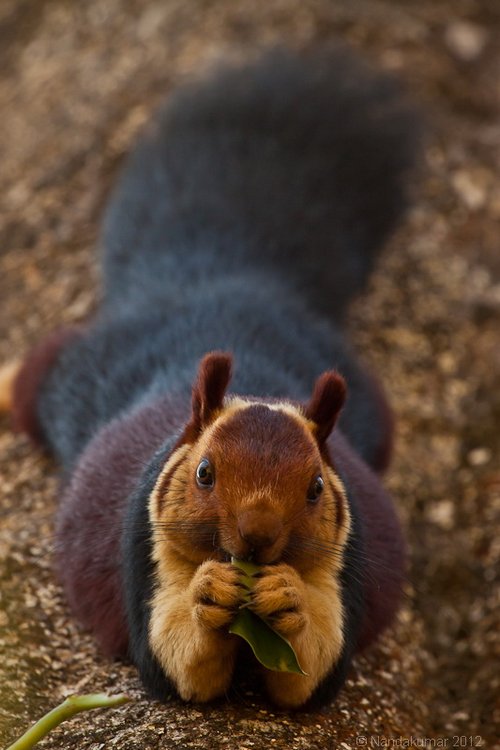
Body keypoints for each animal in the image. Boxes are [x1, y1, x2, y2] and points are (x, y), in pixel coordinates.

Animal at [1, 45, 420, 712]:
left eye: (316, 489)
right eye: (203, 473)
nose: (255, 536)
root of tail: (223, 279)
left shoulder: (347, 561)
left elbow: (316, 671)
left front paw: (286, 597)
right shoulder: (141, 547)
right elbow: (172, 663)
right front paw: (209, 593)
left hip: (369, 402)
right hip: (87, 372)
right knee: (43, 369)